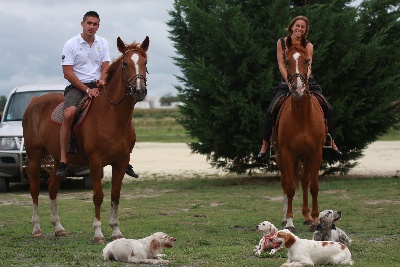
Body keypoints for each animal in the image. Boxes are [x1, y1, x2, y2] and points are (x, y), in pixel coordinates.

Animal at [22, 36, 150, 244]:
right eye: (125, 63)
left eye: (145, 63)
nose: (139, 90)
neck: (113, 116)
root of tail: (34, 101)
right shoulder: (95, 162)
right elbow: (98, 196)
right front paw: (98, 233)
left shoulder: (121, 162)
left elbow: (115, 195)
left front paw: (116, 231)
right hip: (34, 156)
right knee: (34, 189)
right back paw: (36, 229)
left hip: (58, 160)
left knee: (52, 187)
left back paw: (58, 228)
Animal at [274, 43, 326, 232]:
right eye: (287, 61)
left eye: (307, 61)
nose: (298, 89)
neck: (302, 115)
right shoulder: (287, 154)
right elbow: (289, 188)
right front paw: (289, 221)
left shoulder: (316, 154)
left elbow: (313, 186)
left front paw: (316, 220)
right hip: (280, 157)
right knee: (284, 182)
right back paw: (285, 217)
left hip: (306, 157)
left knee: (304, 182)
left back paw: (307, 217)